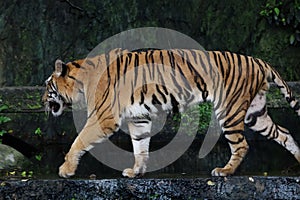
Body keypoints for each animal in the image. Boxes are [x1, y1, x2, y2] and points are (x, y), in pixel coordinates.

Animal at [42, 48, 300, 178]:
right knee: (284, 132)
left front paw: (65, 170)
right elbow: (140, 146)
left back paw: (224, 171)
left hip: (231, 110)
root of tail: (258, 60)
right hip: (254, 113)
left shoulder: (104, 117)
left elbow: (78, 141)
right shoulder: (139, 118)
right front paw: (136, 171)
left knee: (242, 144)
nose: (42, 100)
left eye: (47, 86)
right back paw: (299, 159)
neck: (81, 81)